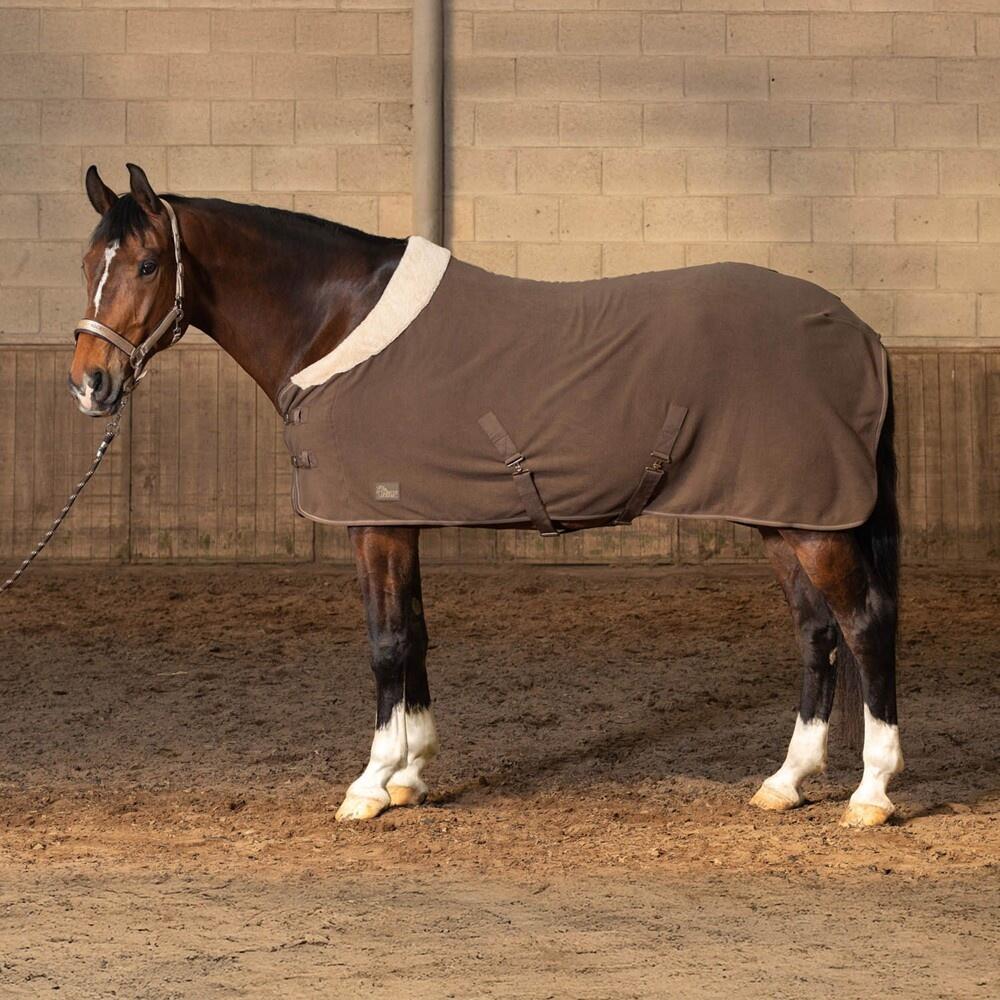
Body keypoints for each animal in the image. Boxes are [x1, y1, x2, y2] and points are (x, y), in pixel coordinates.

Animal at [68, 164, 903, 829]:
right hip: (782, 515)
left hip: (814, 523)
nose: (90, 384)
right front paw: (411, 775)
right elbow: (416, 633)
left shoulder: (374, 521)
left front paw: (371, 783)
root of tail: (858, 329)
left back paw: (871, 793)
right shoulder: (399, 520)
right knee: (815, 631)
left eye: (148, 263)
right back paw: (786, 782)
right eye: (87, 262)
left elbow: (386, 641)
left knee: (862, 625)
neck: (337, 318)